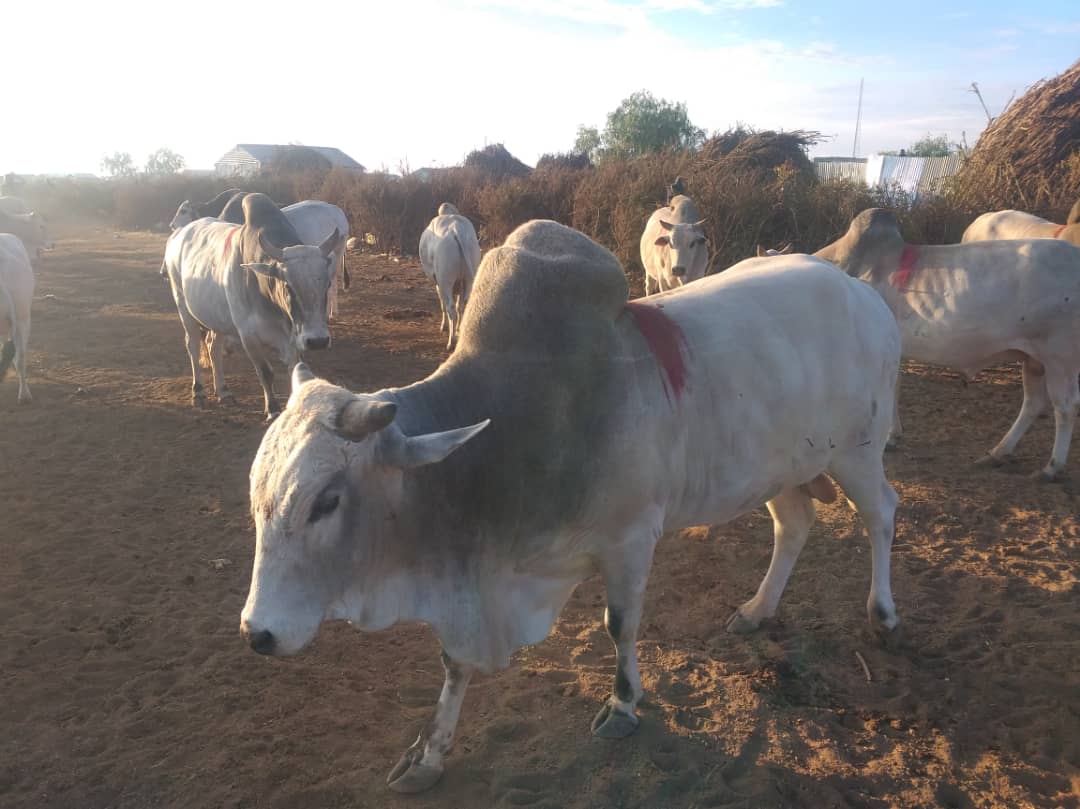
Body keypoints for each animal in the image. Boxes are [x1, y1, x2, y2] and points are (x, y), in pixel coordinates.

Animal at [161, 192, 343, 419]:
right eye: (288, 285)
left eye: (327, 284)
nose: (317, 341)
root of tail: (178, 234)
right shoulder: (248, 336)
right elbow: (265, 372)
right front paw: (272, 410)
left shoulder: (293, 340)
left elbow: (295, 372)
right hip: (183, 306)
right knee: (193, 345)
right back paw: (199, 391)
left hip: (216, 317)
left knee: (213, 347)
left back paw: (223, 390)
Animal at [240, 220, 902, 793]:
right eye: (257, 500)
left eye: (327, 501)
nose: (256, 632)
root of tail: (862, 294)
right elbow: (454, 664)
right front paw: (429, 754)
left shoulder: (630, 538)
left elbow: (620, 626)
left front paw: (624, 706)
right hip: (782, 468)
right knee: (795, 525)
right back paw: (758, 610)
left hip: (859, 452)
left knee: (882, 515)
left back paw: (883, 613)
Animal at [418, 202, 481, 350]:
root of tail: (456, 230)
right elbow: (459, 305)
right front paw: (457, 329)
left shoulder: (439, 283)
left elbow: (443, 304)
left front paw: (444, 326)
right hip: (468, 277)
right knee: (463, 304)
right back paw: (460, 331)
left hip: (445, 281)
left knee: (450, 308)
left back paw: (451, 342)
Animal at [816, 208, 1080, 480]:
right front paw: (893, 436)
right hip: (1034, 359)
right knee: (1033, 403)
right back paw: (997, 453)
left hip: (1060, 356)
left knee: (1065, 406)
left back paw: (1051, 467)